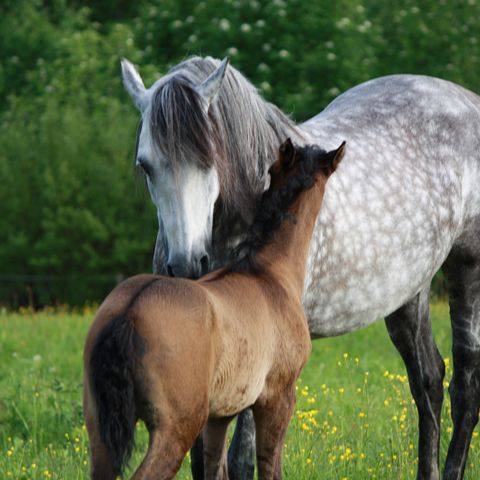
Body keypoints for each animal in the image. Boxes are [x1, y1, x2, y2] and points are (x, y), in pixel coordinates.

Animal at [82, 137, 344, 478]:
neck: (268, 273)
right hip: (177, 428)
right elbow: (270, 466)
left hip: (100, 429)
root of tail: (130, 310)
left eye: (271, 170)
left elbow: (214, 466)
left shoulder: (221, 415)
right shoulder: (278, 398)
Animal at [122, 54, 480, 478]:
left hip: (467, 269)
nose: (186, 264)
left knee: (465, 387)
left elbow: (241, 458)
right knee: (428, 381)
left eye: (208, 160)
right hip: (409, 294)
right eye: (146, 166)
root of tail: (466, 99)